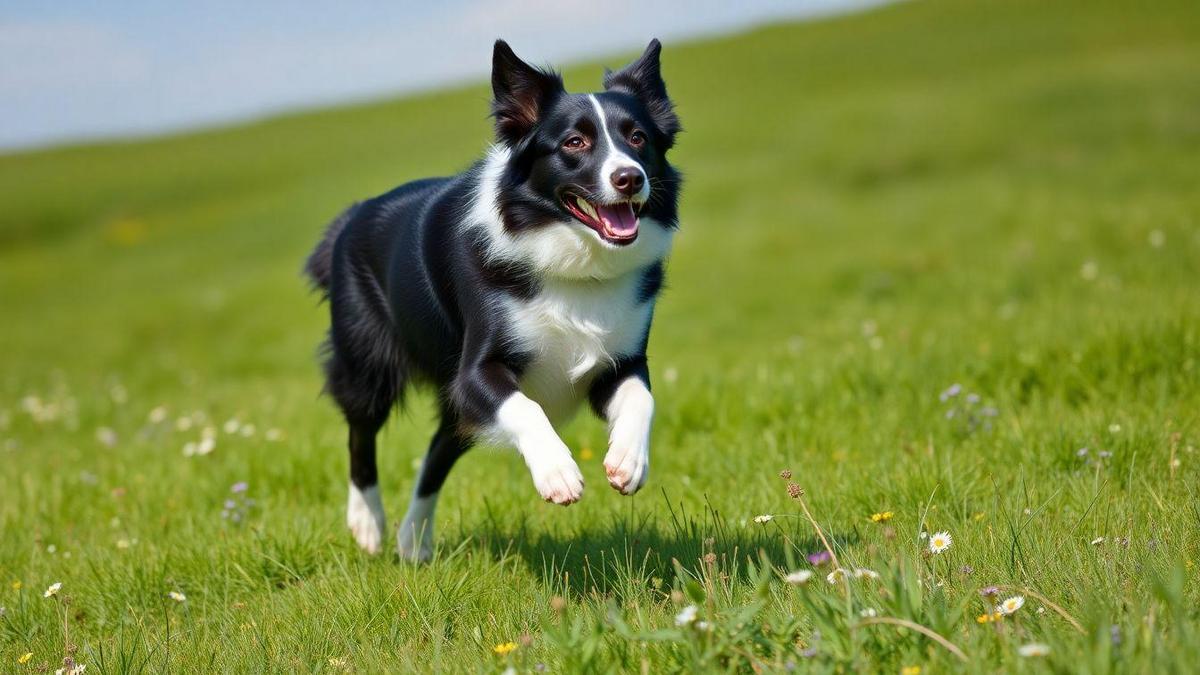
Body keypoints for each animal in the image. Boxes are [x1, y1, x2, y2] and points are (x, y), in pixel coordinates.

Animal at [307, 39, 686, 559]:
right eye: (574, 143)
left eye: (638, 137)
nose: (630, 178)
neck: (577, 265)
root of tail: (350, 218)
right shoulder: (474, 373)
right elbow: (525, 408)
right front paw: (558, 474)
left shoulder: (618, 361)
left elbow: (641, 397)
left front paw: (628, 461)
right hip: (368, 363)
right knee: (361, 434)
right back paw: (367, 525)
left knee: (437, 451)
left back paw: (414, 541)